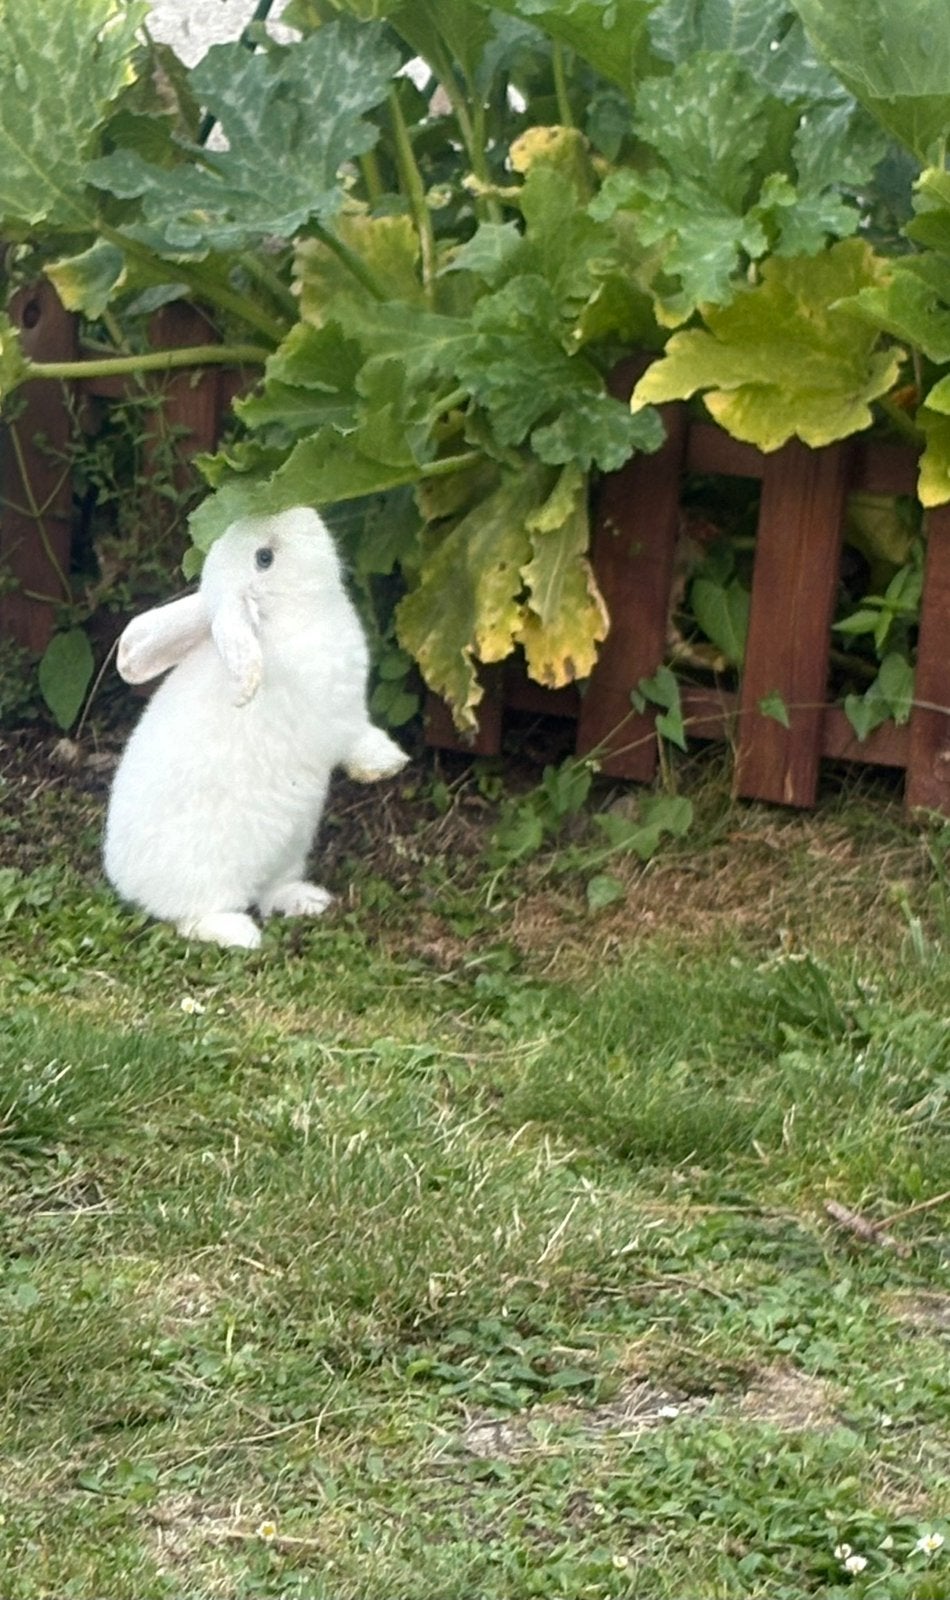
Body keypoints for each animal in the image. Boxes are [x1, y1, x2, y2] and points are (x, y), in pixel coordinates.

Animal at [103, 506, 408, 950]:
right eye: (265, 559)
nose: (297, 510)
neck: (284, 619)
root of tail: (130, 886)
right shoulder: (340, 719)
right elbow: (358, 740)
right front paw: (388, 763)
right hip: (210, 881)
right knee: (191, 919)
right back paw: (240, 935)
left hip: (290, 848)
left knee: (270, 893)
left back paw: (307, 900)